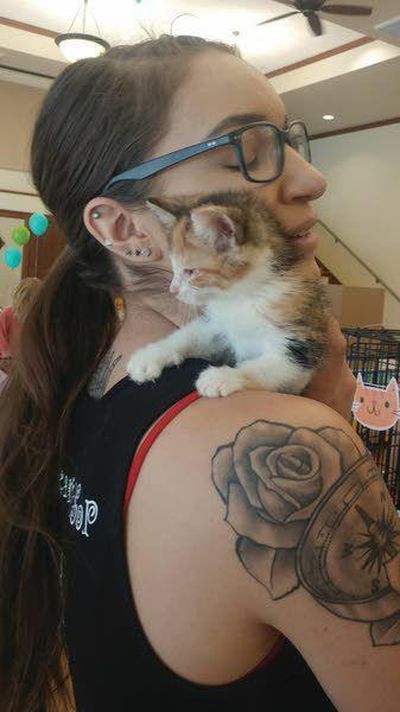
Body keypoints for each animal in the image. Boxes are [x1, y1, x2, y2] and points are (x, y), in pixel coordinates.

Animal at [127, 189, 328, 398]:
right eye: (174, 267)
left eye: (190, 271)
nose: (173, 290)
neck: (243, 296)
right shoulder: (217, 325)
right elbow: (189, 335)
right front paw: (150, 356)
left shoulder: (301, 344)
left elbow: (273, 368)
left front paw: (221, 377)